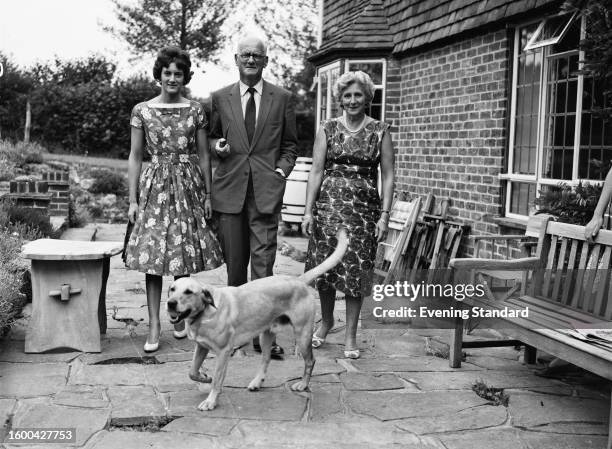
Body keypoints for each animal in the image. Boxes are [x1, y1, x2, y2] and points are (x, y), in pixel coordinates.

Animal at [166, 228, 350, 410]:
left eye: (188, 292)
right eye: (172, 289)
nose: (170, 303)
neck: (205, 313)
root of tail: (299, 280)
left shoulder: (223, 352)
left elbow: (217, 380)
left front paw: (211, 401)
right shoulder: (201, 347)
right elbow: (192, 372)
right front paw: (204, 377)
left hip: (302, 336)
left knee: (310, 361)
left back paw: (303, 384)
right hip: (266, 336)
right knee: (266, 359)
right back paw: (257, 382)